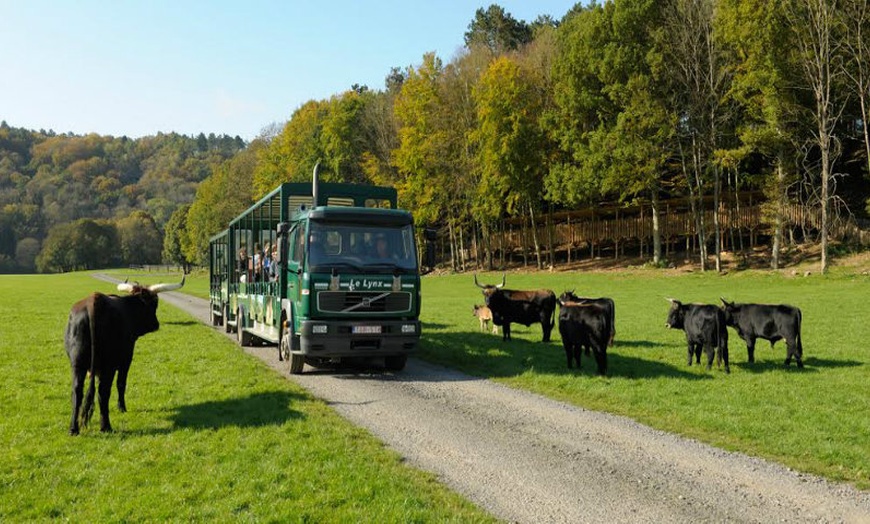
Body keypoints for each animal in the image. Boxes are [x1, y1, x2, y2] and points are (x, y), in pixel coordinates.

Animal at [66, 276, 186, 436]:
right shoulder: (126, 359)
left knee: (77, 392)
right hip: (109, 366)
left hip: (77, 365)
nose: (156, 325)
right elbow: (121, 383)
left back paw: (74, 429)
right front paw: (122, 407)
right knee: (103, 392)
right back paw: (106, 426)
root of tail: (94, 301)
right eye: (155, 303)